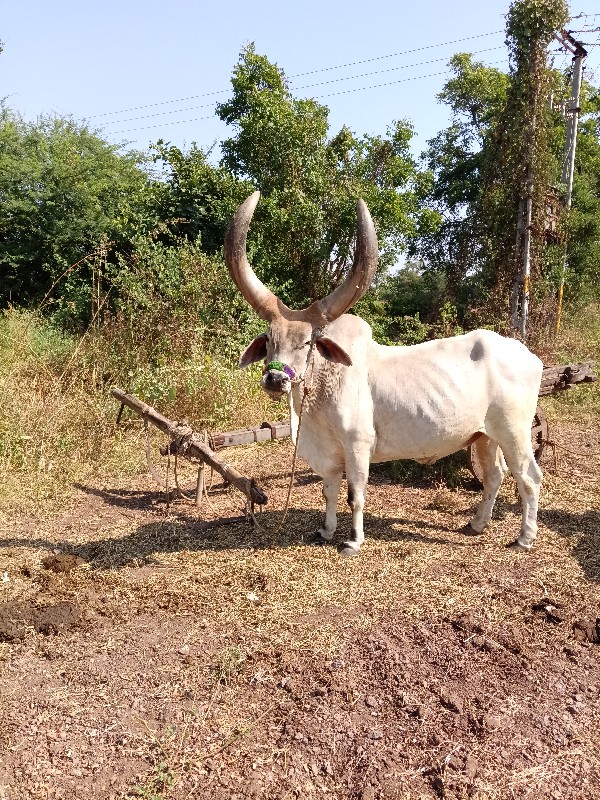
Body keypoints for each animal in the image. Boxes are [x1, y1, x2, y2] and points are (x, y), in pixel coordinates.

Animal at [225, 194, 544, 556]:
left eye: (308, 342)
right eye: (269, 339)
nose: (275, 380)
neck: (318, 395)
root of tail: (528, 355)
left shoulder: (358, 446)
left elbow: (355, 496)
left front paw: (353, 541)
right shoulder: (330, 454)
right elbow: (329, 491)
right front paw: (325, 530)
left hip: (515, 433)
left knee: (529, 479)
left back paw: (524, 538)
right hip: (484, 437)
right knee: (494, 476)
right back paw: (476, 525)